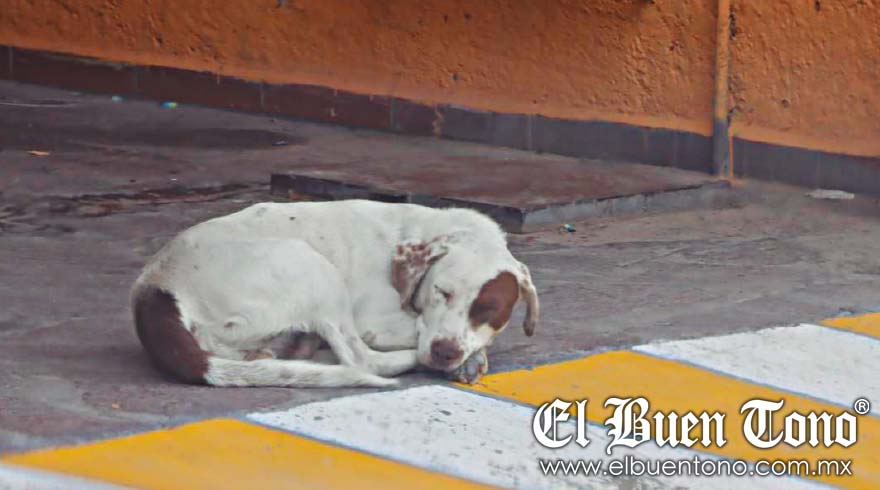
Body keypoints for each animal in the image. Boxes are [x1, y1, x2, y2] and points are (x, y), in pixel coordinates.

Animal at [131, 199, 539, 388]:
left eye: (487, 311)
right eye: (442, 291)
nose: (445, 352)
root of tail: (153, 288)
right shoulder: (378, 321)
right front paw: (464, 358)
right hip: (313, 267)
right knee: (361, 360)